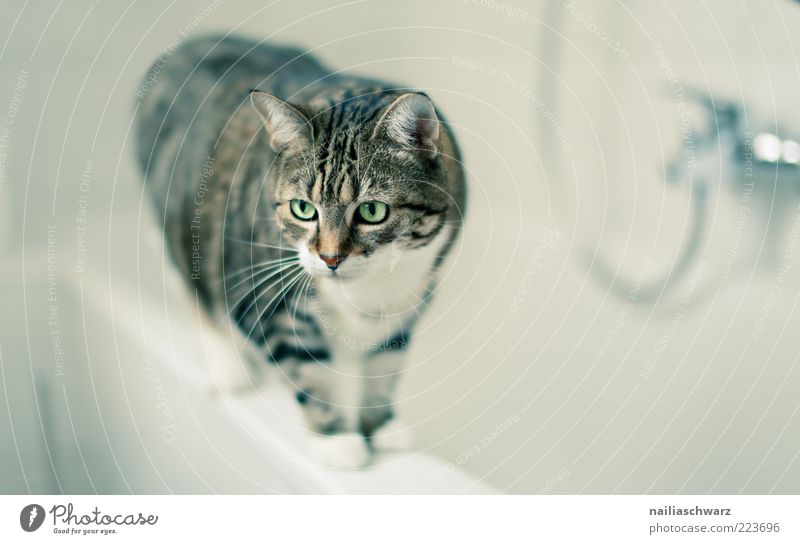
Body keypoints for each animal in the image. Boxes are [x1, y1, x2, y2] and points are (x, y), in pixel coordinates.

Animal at [134, 34, 466, 468]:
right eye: (303, 209)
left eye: (372, 211)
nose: (330, 258)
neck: (368, 289)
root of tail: (190, 44)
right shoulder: (264, 293)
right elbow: (307, 366)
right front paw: (337, 440)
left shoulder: (417, 289)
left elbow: (385, 362)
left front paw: (380, 425)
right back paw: (231, 370)